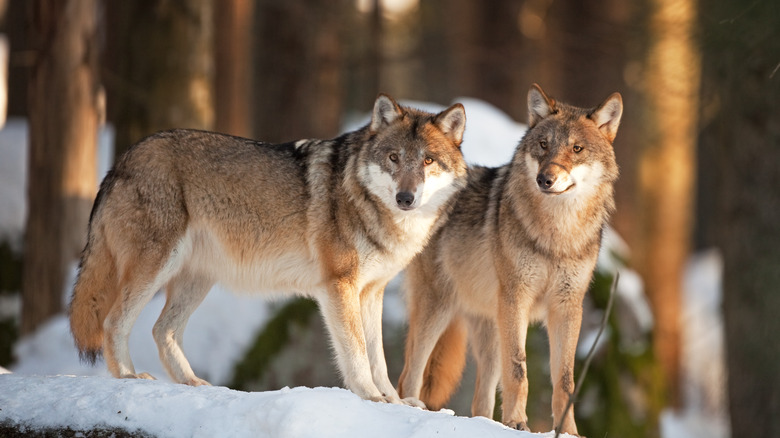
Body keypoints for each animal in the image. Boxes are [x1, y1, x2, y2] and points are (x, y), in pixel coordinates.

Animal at [68, 94, 470, 406]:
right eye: (393, 158)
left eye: (428, 161)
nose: (406, 198)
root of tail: (122, 160)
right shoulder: (339, 287)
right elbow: (357, 354)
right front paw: (371, 397)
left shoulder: (371, 292)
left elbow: (379, 358)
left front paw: (394, 400)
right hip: (155, 268)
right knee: (113, 322)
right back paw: (129, 378)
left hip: (195, 280)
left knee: (161, 331)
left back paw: (193, 384)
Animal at [396, 83, 620, 434]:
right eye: (543, 145)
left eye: (577, 149)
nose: (545, 179)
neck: (556, 236)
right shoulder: (518, 299)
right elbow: (518, 370)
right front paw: (517, 422)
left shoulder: (567, 307)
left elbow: (565, 381)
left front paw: (569, 432)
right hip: (439, 311)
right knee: (408, 375)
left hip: (489, 330)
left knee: (480, 400)